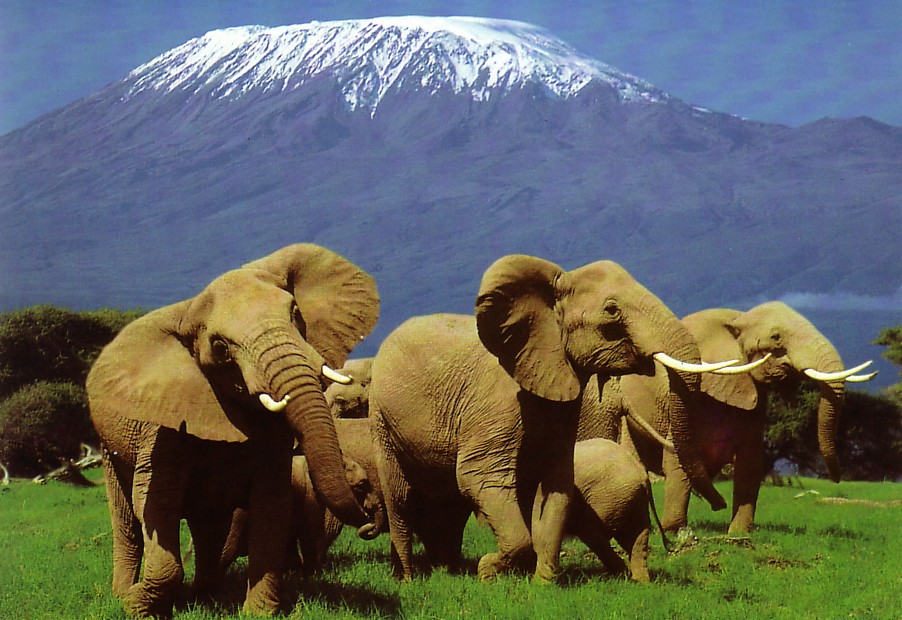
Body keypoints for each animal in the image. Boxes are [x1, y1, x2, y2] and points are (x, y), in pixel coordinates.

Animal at [86, 245, 380, 616]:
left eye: (296, 313)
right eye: (221, 348)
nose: (368, 521)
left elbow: (271, 502)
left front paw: (258, 613)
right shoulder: (163, 428)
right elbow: (155, 503)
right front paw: (137, 607)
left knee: (207, 524)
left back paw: (206, 595)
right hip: (106, 446)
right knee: (127, 521)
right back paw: (125, 593)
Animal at [374, 254, 736, 584]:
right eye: (611, 310)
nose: (720, 504)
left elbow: (558, 484)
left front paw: (541, 583)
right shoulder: (495, 402)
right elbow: (478, 476)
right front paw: (488, 572)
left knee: (446, 506)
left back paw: (447, 569)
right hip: (382, 419)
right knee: (400, 498)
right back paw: (408, 578)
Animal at [584, 300, 880, 532]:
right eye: (776, 337)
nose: (837, 477)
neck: (739, 319)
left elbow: (751, 461)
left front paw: (738, 535)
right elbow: (677, 457)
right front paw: (676, 531)